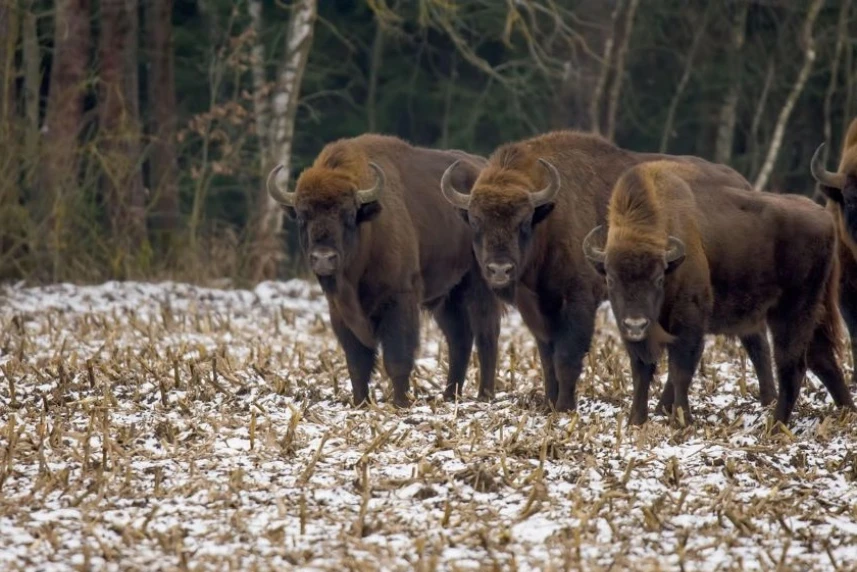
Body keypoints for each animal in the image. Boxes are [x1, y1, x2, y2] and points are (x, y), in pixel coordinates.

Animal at [264, 135, 498, 406]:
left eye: (348, 214)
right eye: (303, 216)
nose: (323, 258)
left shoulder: (399, 299)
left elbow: (397, 357)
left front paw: (400, 403)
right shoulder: (340, 311)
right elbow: (357, 362)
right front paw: (360, 402)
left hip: (481, 283)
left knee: (486, 333)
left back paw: (485, 395)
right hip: (447, 296)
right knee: (459, 338)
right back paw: (450, 395)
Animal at [438, 131, 772, 412]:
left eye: (523, 221)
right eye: (476, 221)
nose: (499, 269)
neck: (550, 217)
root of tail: (745, 185)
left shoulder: (579, 300)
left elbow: (567, 356)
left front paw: (564, 407)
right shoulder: (536, 308)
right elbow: (547, 357)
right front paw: (549, 403)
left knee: (753, 341)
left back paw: (766, 400)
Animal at [580, 160, 852, 424]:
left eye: (658, 278)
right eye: (611, 279)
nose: (635, 324)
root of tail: (824, 217)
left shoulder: (689, 322)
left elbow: (680, 371)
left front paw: (682, 421)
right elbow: (641, 372)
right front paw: (635, 422)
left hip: (791, 312)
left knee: (792, 364)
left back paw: (775, 427)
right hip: (812, 312)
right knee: (822, 359)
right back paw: (845, 412)